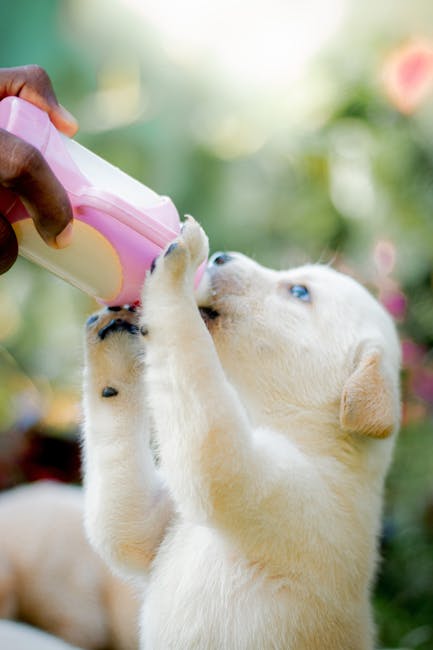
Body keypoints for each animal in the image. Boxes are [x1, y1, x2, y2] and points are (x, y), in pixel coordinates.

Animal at [80, 219, 398, 648]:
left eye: (299, 292)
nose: (220, 257)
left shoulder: (286, 497)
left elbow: (189, 359)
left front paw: (178, 265)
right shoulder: (157, 527)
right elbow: (124, 521)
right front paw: (114, 345)